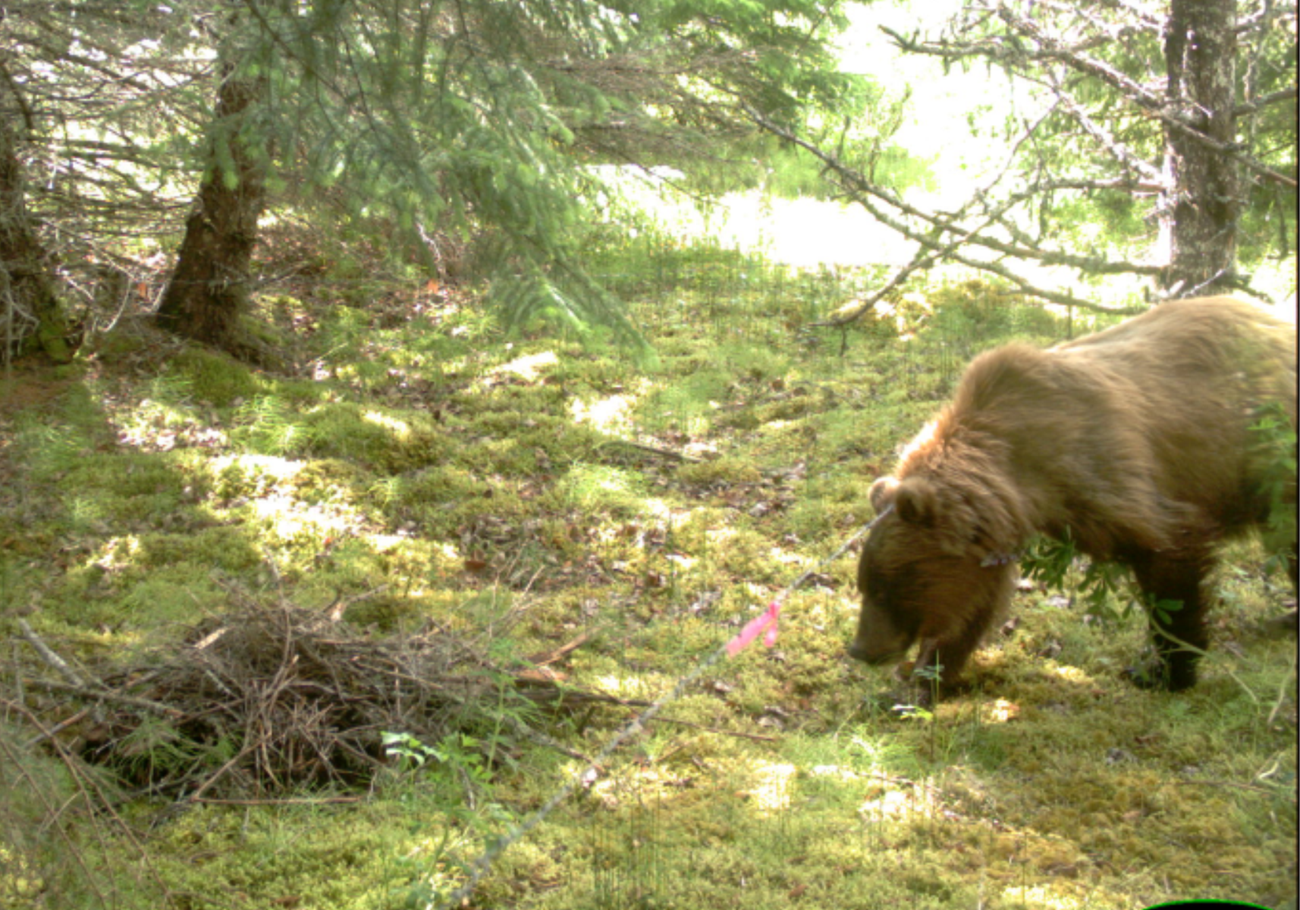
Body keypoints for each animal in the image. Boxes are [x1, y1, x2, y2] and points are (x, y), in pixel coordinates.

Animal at [848, 296, 1296, 702]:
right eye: (865, 583)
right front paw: (920, 686)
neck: (1024, 473)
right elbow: (973, 604)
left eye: (886, 589)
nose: (860, 650)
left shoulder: (1103, 471)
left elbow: (1170, 555)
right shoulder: (994, 535)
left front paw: (1165, 671)